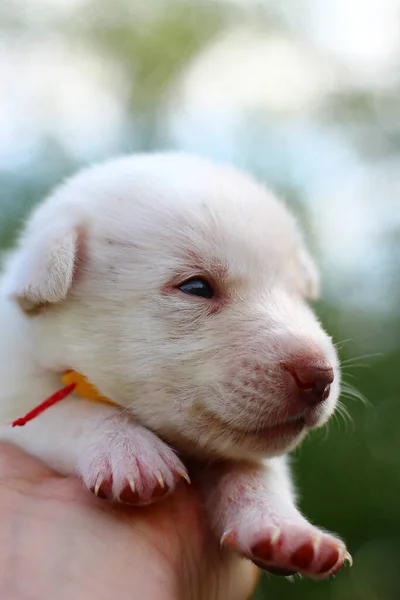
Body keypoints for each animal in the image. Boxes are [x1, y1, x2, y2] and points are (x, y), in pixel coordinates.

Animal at [0, 154, 350, 576]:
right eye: (196, 287)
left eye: (300, 296)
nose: (320, 377)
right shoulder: (13, 398)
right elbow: (66, 411)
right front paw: (128, 449)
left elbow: (259, 471)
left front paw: (284, 527)